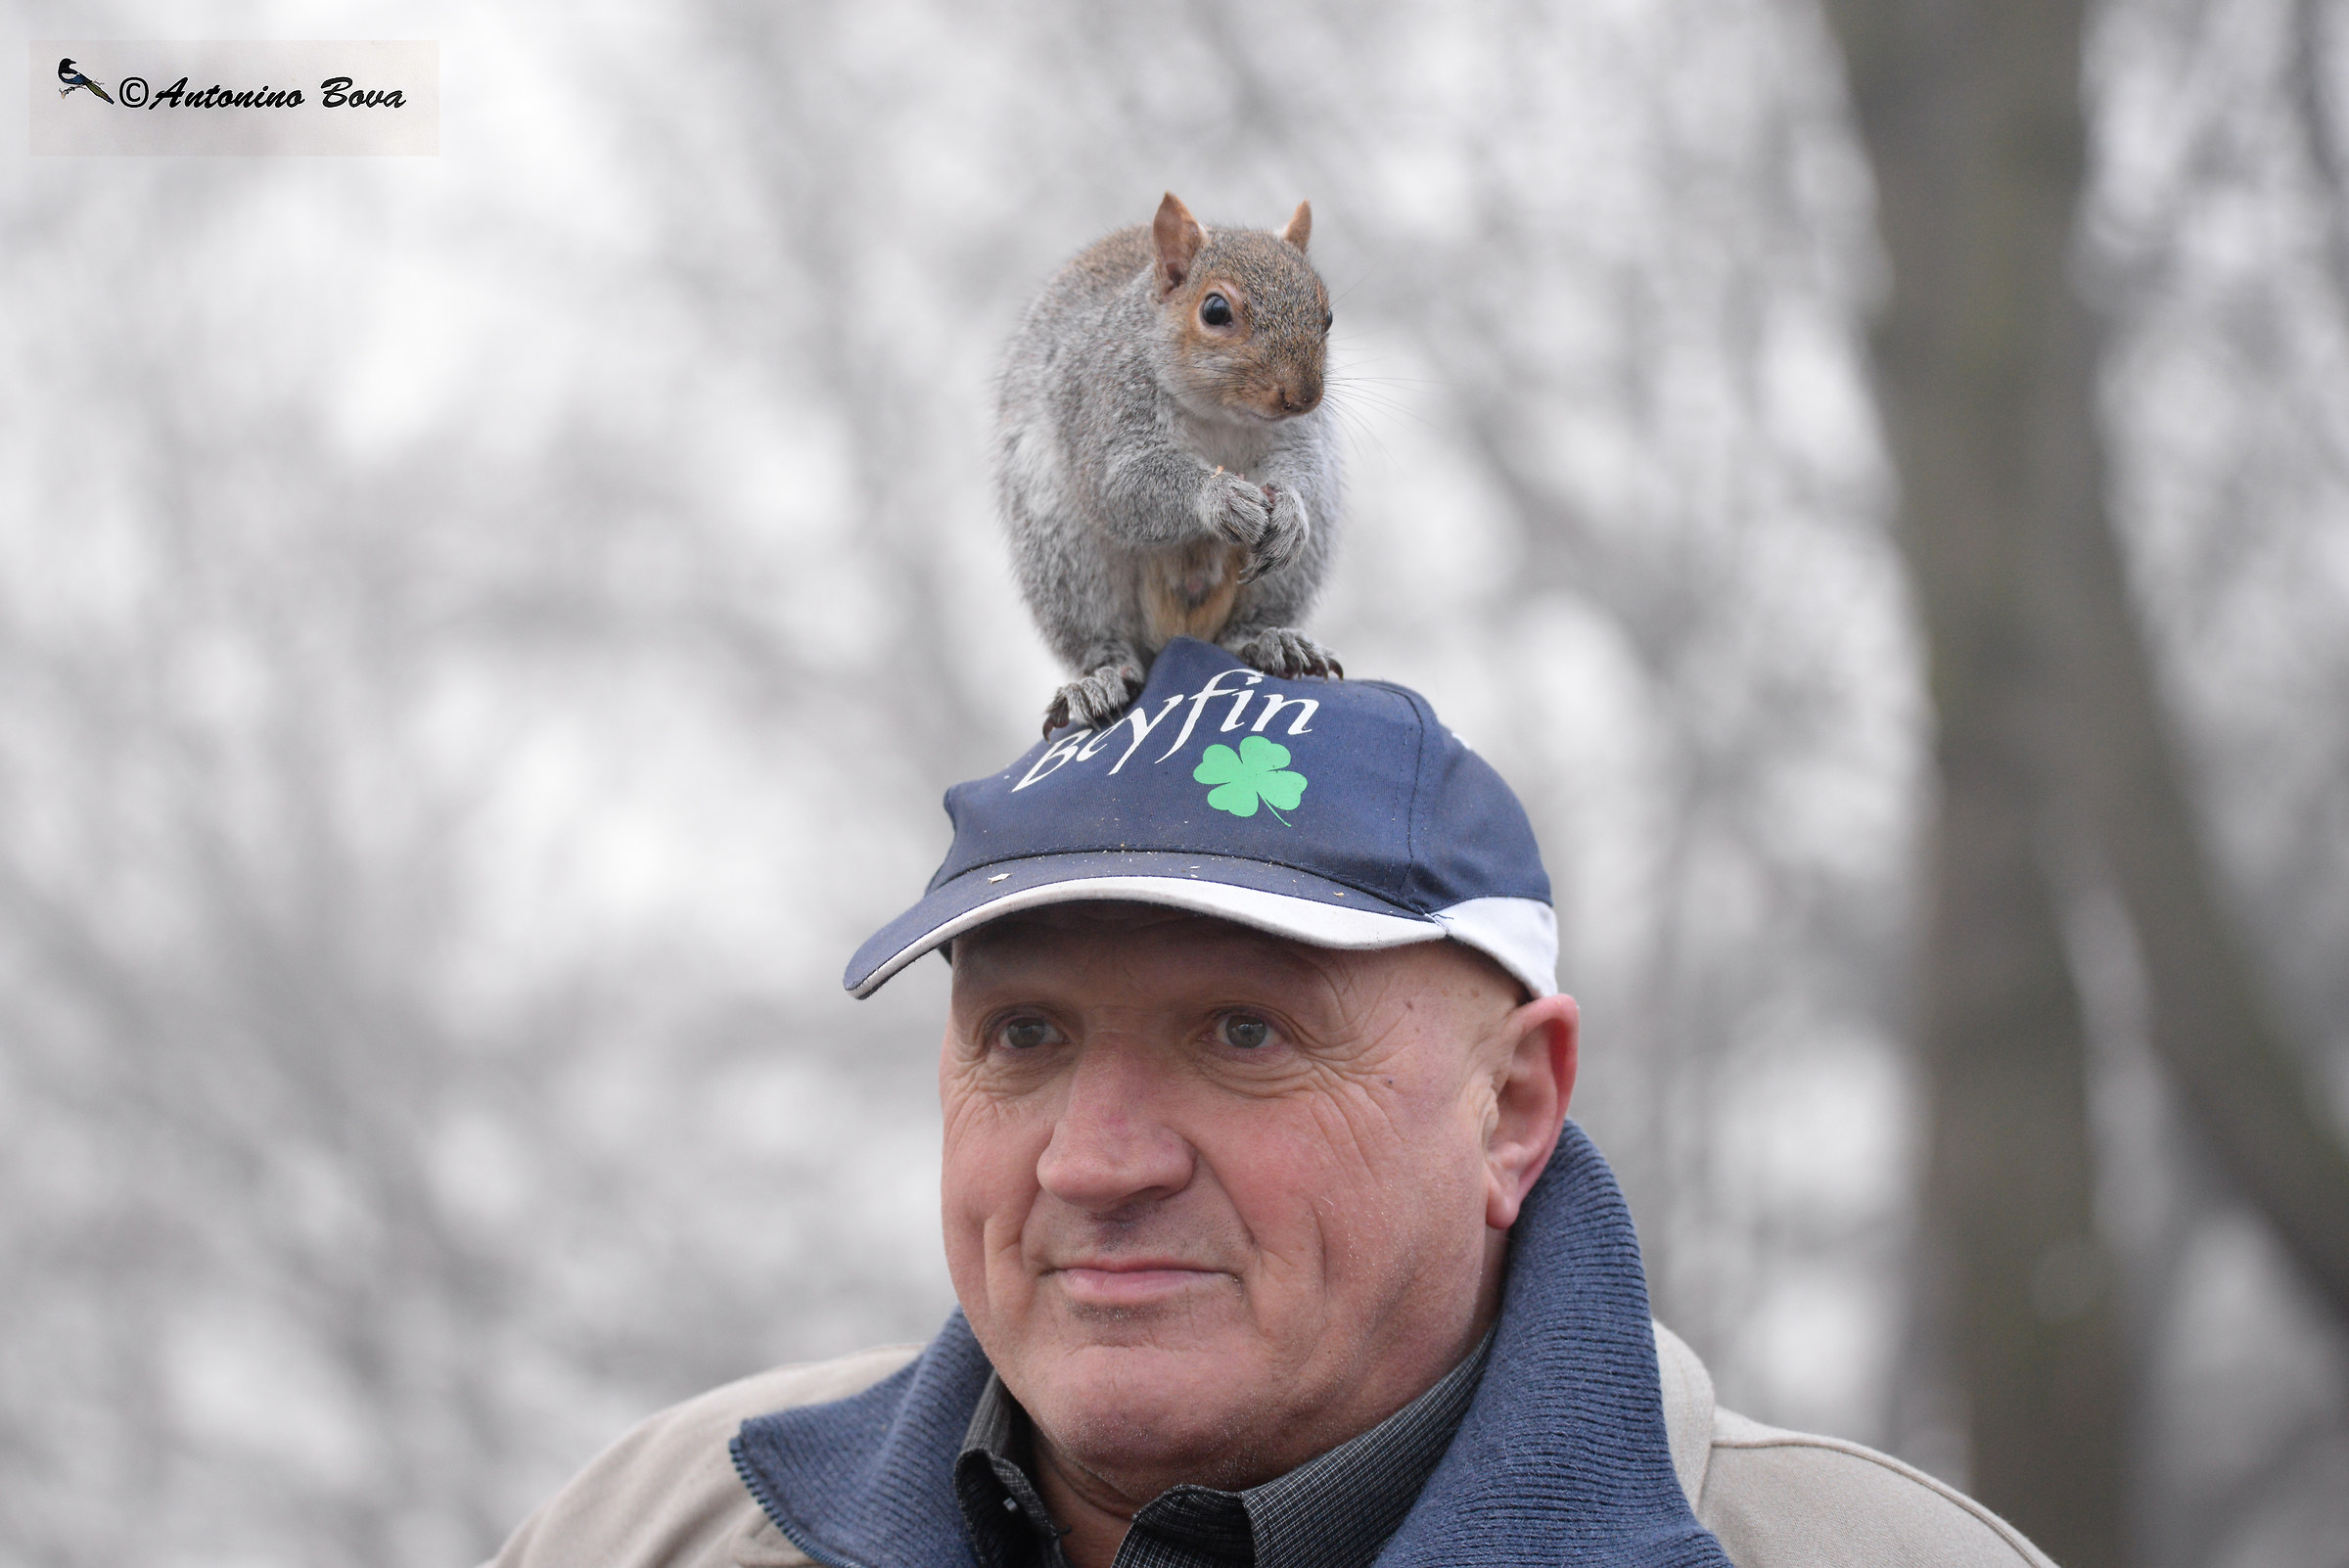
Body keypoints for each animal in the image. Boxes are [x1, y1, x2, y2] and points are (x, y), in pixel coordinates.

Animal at [996, 192, 1343, 735]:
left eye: (1327, 316)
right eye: (1215, 310)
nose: (1303, 396)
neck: (1218, 414)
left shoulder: (1298, 438)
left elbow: (1303, 467)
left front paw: (1289, 510)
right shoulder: (1105, 406)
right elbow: (1119, 484)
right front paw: (1219, 499)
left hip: (1291, 574)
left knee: (1246, 627)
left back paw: (1270, 640)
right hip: (1063, 553)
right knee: (1102, 638)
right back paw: (1101, 678)